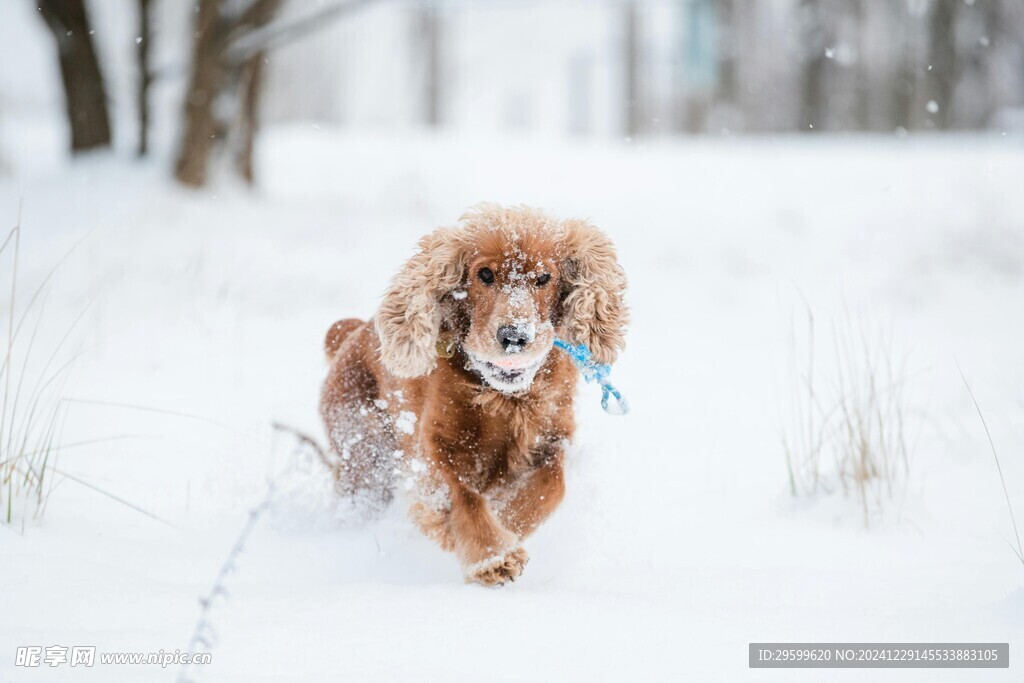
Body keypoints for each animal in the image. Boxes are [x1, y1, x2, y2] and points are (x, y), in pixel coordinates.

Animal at [319, 204, 626, 589]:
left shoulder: (553, 436)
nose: (514, 337)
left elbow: (551, 486)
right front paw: (493, 557)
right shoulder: (436, 445)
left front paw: (507, 523)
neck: (505, 395)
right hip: (364, 455)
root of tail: (350, 333)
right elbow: (462, 496)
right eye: (484, 274)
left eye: (543, 278)